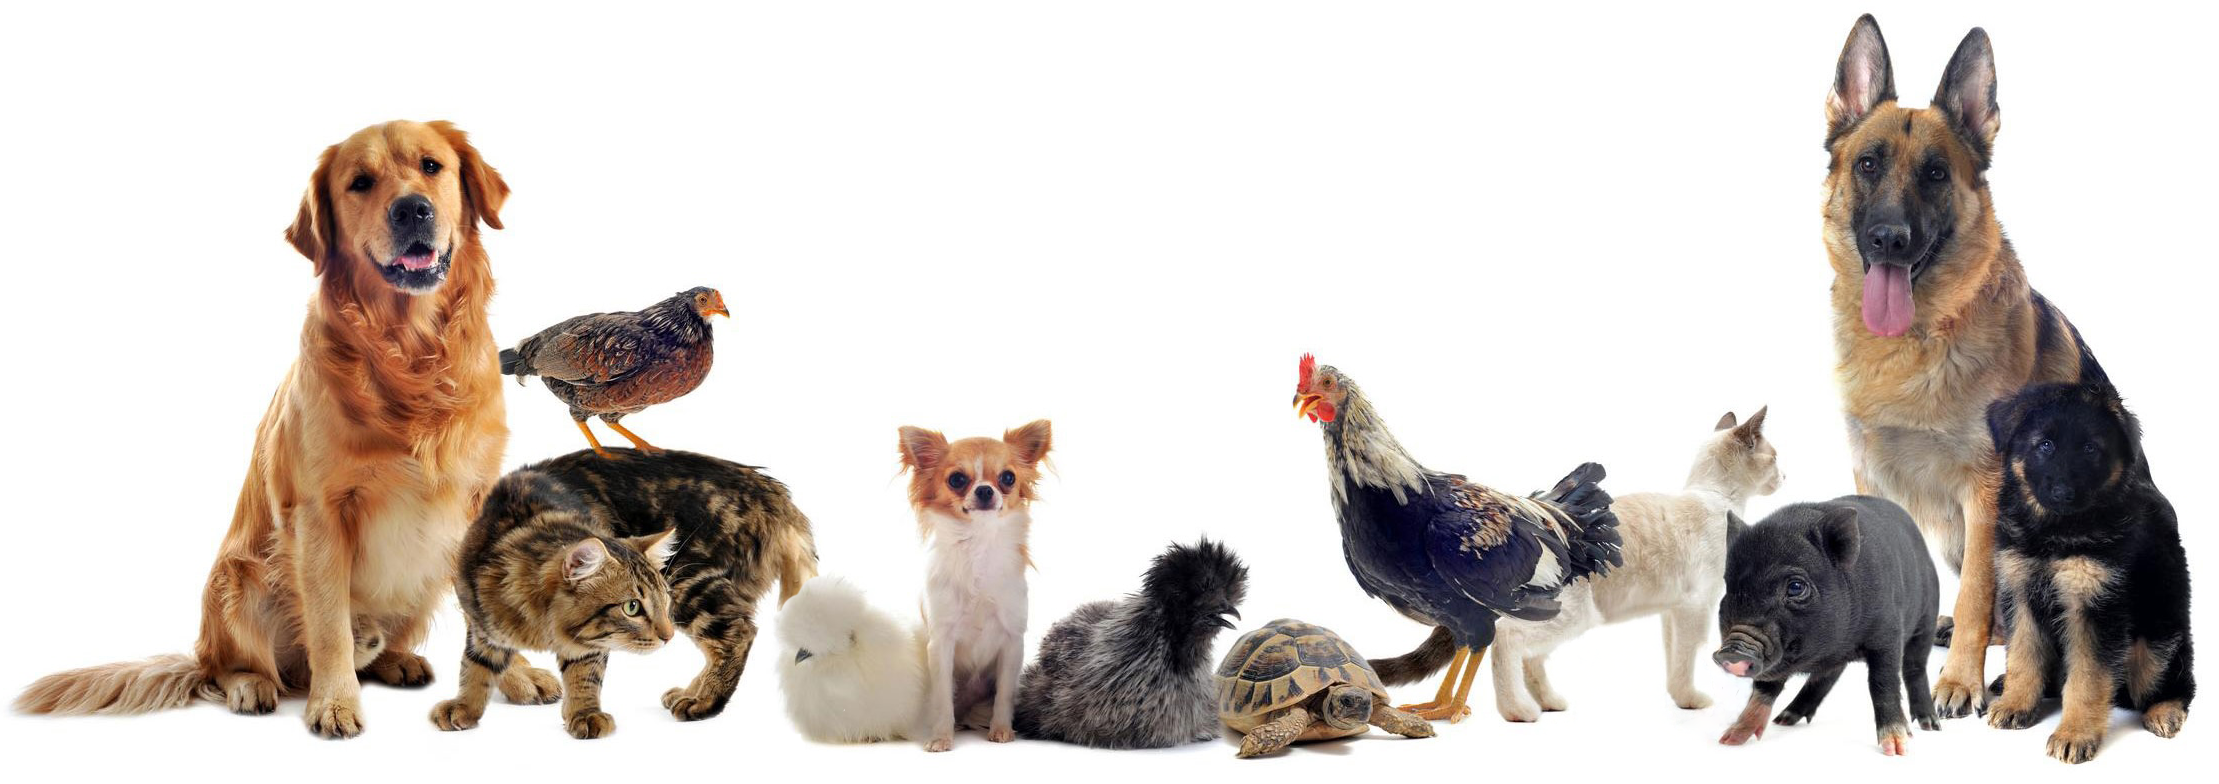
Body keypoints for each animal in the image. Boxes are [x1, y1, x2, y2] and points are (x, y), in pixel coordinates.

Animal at [1713, 496, 1940, 755]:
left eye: (1796, 587)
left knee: (1915, 668)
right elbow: (1764, 688)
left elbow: (1883, 683)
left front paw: (1896, 749)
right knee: (1827, 676)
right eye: (1729, 587)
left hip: (1927, 619)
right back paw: (1785, 719)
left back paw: (1930, 725)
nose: (1733, 650)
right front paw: (1730, 739)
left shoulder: (1888, 633)